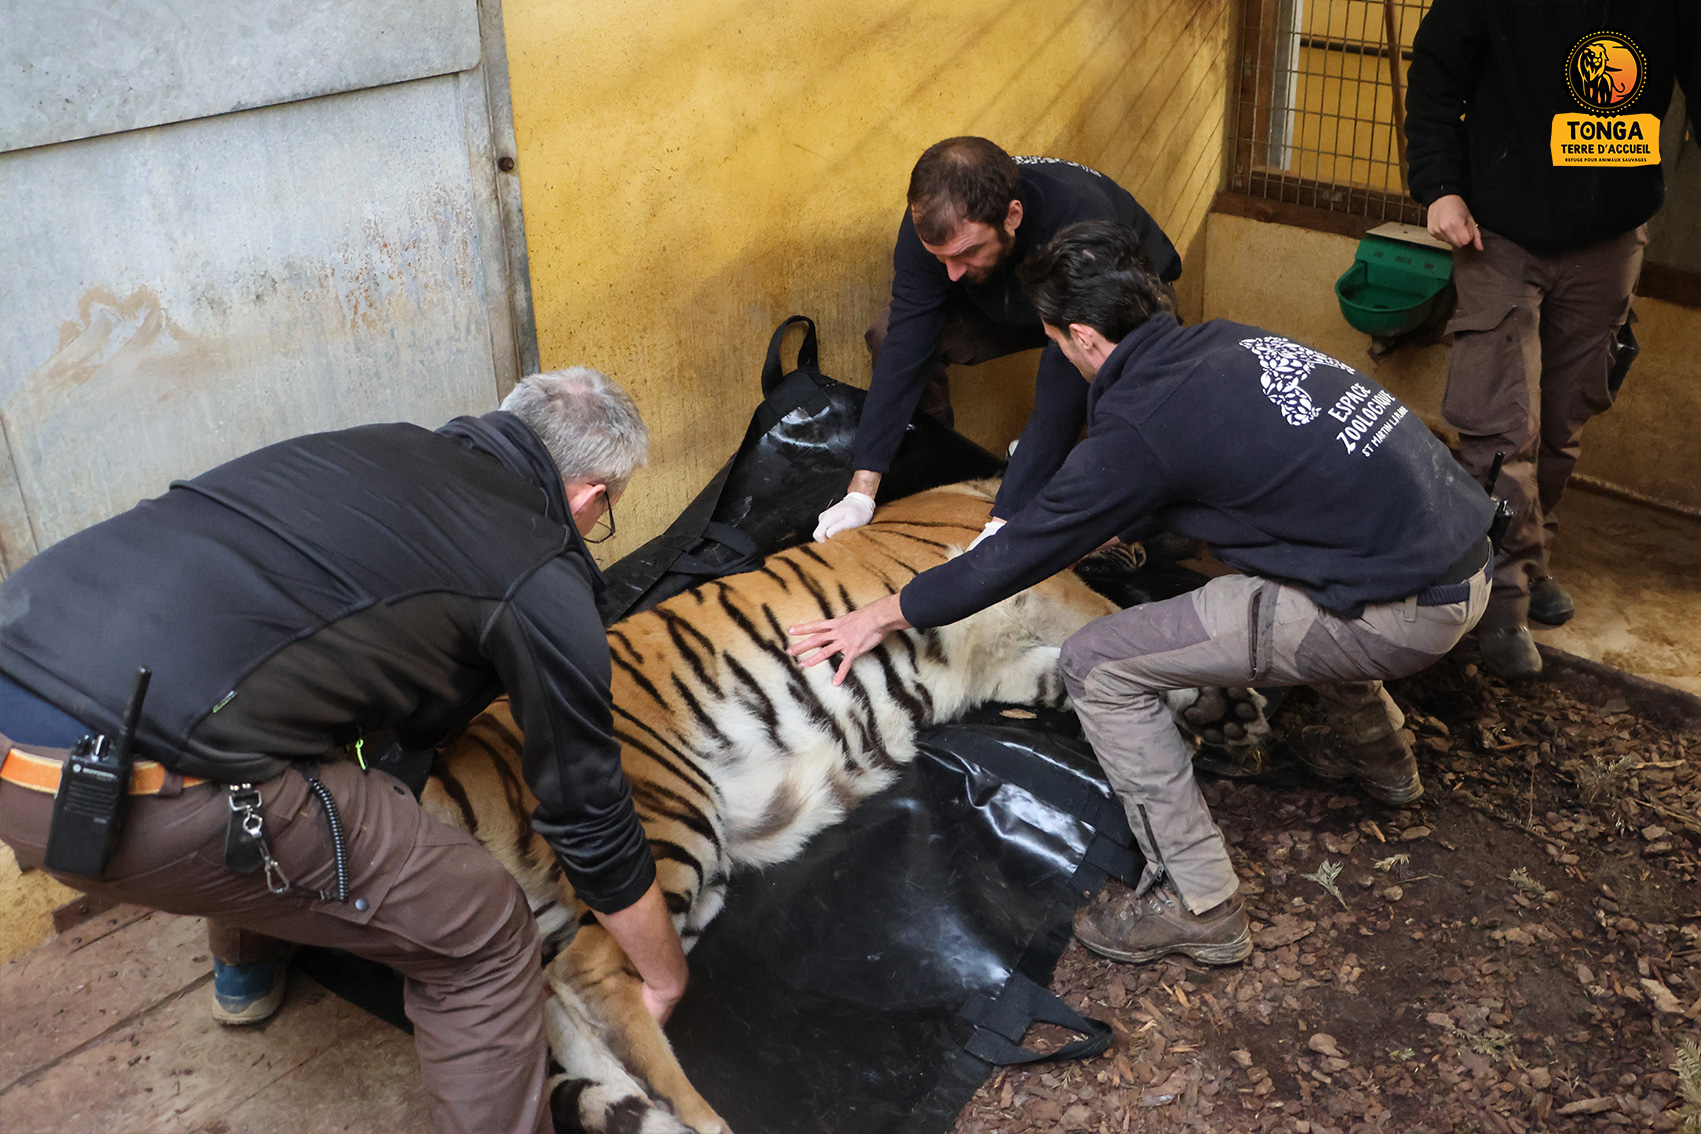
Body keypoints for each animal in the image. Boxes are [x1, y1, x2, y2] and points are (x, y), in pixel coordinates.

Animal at [421, 480, 1269, 1134]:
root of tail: (468, 749)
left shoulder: (1007, 667)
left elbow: (1074, 668)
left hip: (651, 892)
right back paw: (707, 1120)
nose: (1155, 554)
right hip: (666, 827)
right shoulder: (1037, 587)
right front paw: (1222, 699)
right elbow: (1098, 626)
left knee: (566, 1005)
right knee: (594, 975)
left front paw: (1223, 712)